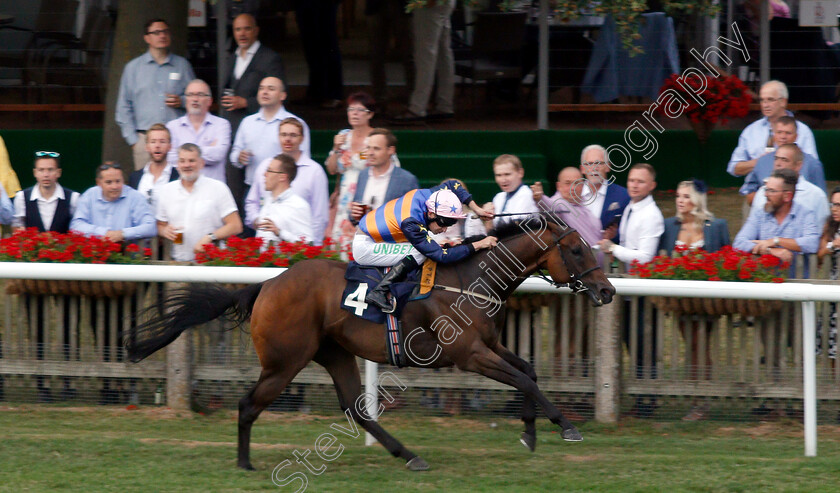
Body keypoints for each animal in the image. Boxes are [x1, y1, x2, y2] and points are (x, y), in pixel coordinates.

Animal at [130, 214, 616, 468]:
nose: (608, 290)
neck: (471, 279)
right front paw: (566, 426)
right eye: (577, 250)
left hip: (335, 354)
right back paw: (245, 463)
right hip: (285, 361)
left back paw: (408, 454)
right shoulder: (470, 355)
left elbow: (527, 372)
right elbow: (525, 379)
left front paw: (530, 432)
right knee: (249, 404)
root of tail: (266, 285)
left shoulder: (490, 346)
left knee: (356, 410)